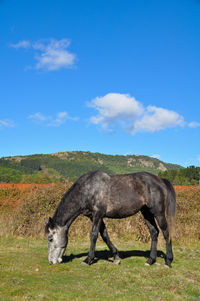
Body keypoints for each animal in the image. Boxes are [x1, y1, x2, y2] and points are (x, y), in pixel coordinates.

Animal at [44, 170, 176, 266]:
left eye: (50, 239)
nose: (51, 261)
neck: (87, 189)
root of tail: (160, 180)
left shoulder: (97, 214)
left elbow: (94, 235)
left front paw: (88, 259)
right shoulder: (95, 217)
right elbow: (105, 235)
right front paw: (116, 257)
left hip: (158, 212)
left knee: (166, 232)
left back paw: (168, 260)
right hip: (146, 213)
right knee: (154, 232)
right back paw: (150, 260)